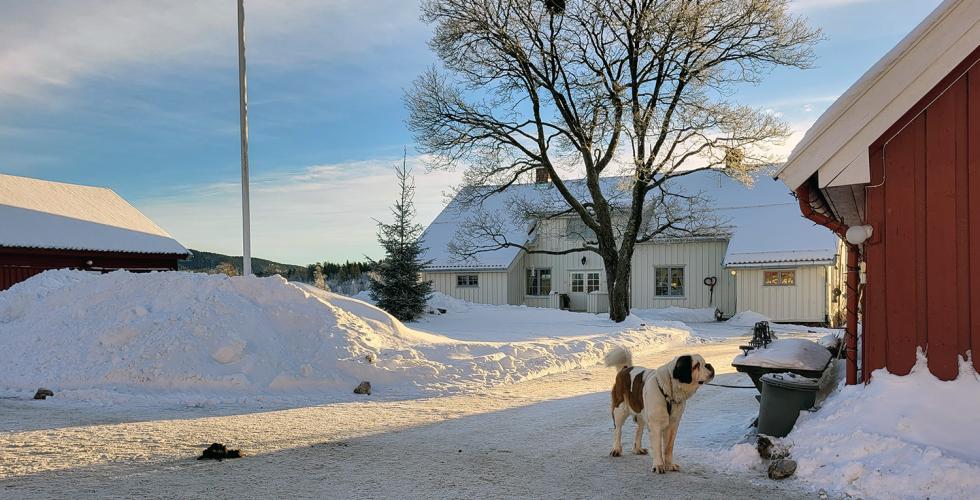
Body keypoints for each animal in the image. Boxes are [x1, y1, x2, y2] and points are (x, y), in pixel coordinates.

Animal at [604, 346, 712, 474]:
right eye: (697, 365)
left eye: (704, 363)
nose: (709, 365)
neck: (668, 393)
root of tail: (625, 369)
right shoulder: (655, 425)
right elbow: (657, 447)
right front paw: (658, 466)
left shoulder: (673, 424)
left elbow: (668, 447)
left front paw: (669, 465)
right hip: (619, 409)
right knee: (618, 430)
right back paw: (616, 449)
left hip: (641, 412)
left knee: (639, 430)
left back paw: (637, 449)